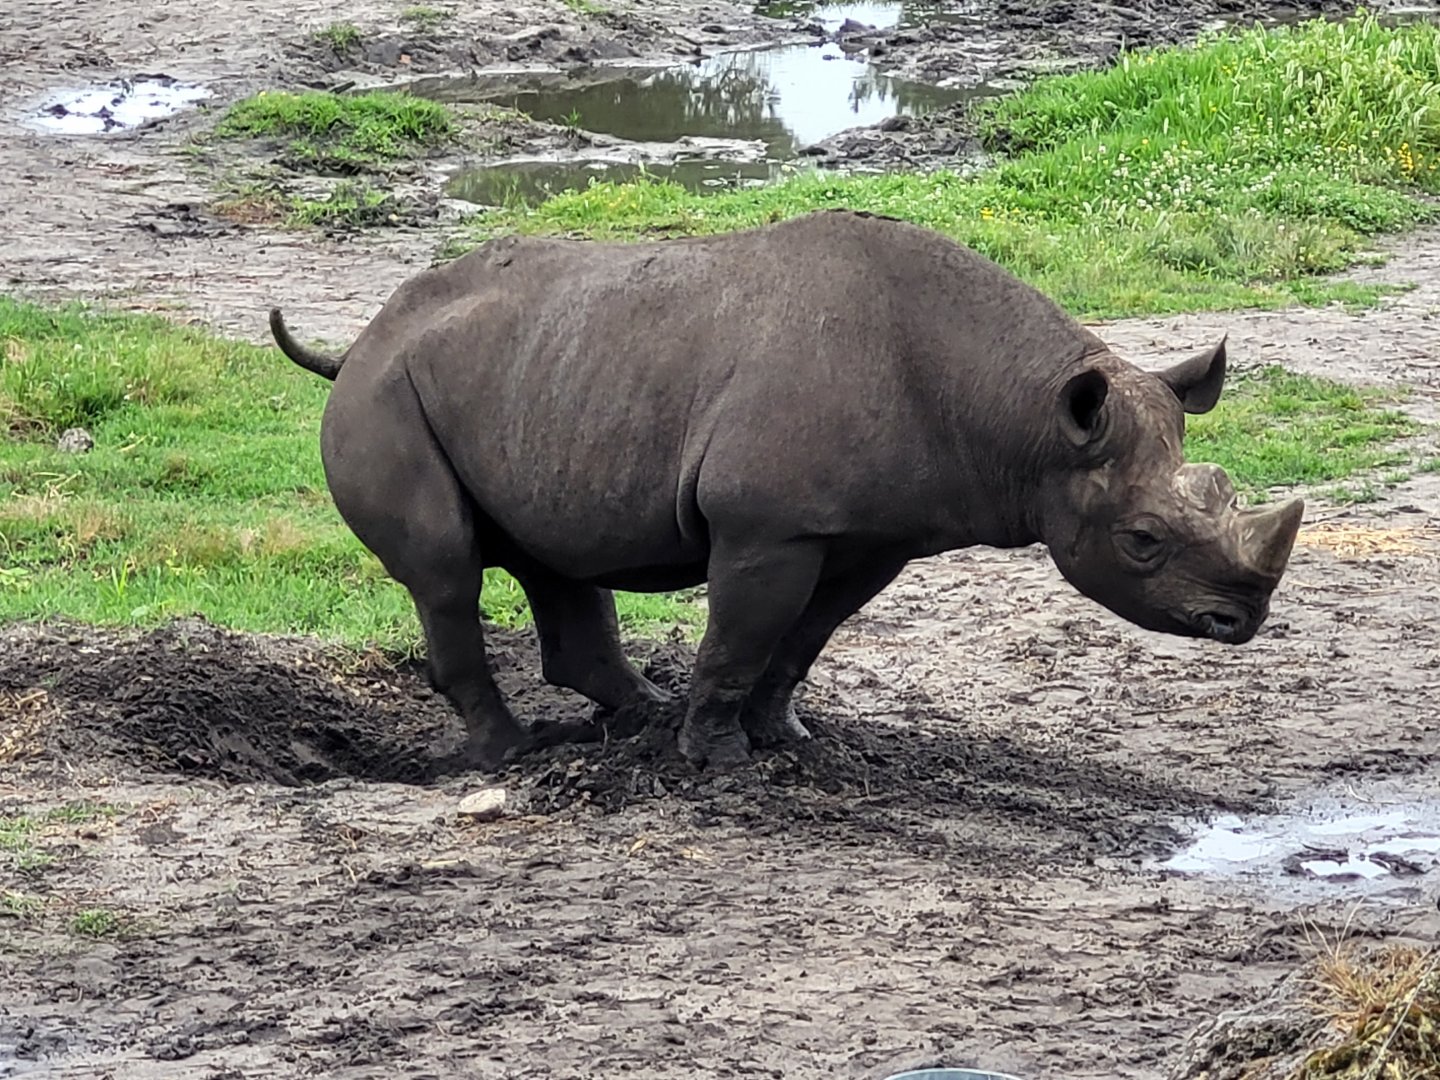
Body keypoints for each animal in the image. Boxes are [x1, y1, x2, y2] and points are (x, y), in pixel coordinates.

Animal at [269, 209, 1303, 771]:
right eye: (1142, 542)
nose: (1239, 623)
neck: (1029, 420)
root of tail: (356, 341)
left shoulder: (876, 533)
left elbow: (806, 635)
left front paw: (786, 737)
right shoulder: (768, 524)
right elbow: (743, 631)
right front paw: (717, 758)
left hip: (530, 375)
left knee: (554, 554)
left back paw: (636, 716)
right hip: (386, 395)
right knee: (446, 570)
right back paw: (514, 754)